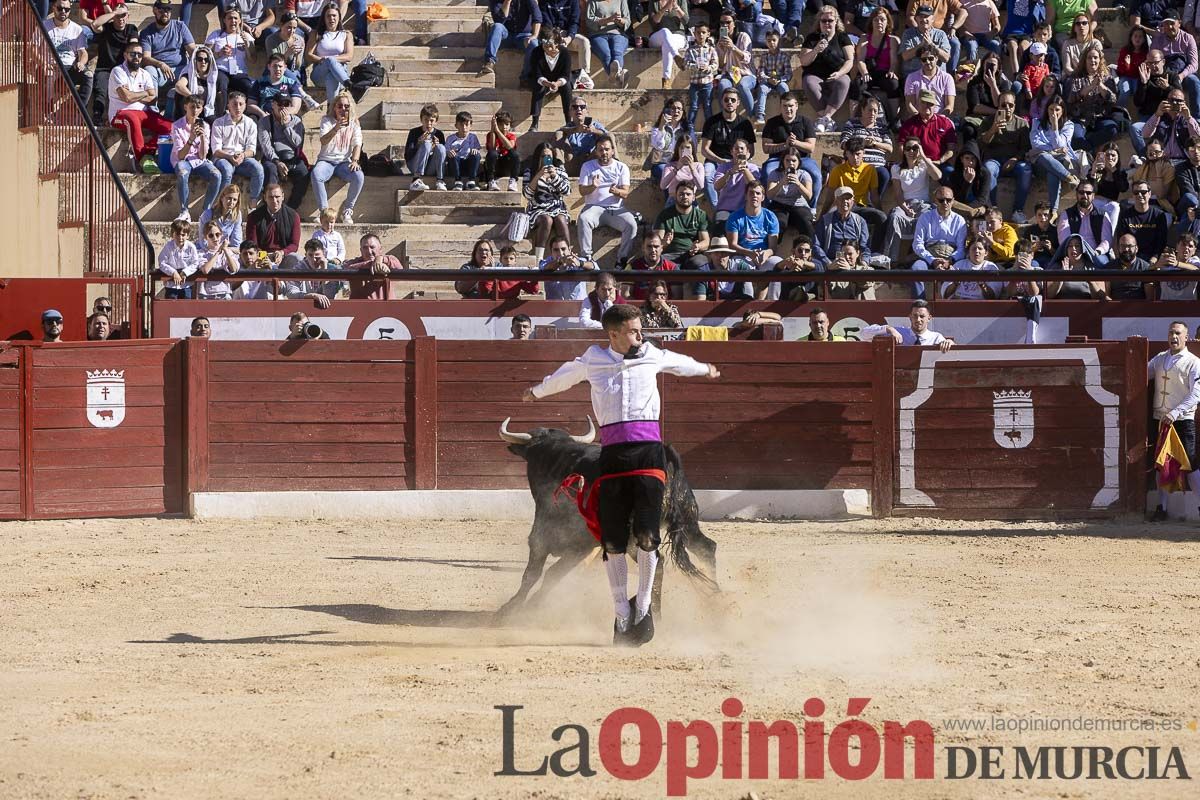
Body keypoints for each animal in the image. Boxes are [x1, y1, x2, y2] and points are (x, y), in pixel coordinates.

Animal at [494, 422, 715, 618]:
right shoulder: (574, 546)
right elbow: (546, 574)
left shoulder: (553, 538)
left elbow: (539, 573)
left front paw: (514, 609)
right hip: (687, 519)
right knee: (706, 547)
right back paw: (714, 603)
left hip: (634, 536)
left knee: (657, 563)